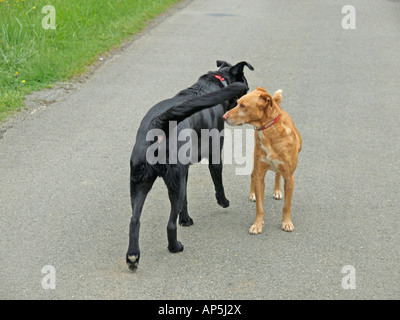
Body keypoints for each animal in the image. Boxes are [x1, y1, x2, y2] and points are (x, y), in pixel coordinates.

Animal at [126, 60, 255, 270]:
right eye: (247, 89)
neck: (214, 83)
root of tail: (158, 124)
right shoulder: (214, 155)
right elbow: (218, 183)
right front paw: (223, 202)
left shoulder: (184, 172)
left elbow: (185, 201)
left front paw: (185, 220)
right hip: (171, 182)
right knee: (170, 224)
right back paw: (175, 247)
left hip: (140, 183)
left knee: (134, 221)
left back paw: (132, 256)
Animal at [222, 87, 300, 232]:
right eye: (237, 103)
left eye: (243, 106)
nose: (223, 117)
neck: (269, 132)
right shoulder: (260, 175)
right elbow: (259, 206)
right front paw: (258, 224)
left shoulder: (289, 177)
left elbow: (287, 205)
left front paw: (286, 222)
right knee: (253, 175)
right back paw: (253, 194)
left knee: (277, 174)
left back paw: (277, 190)